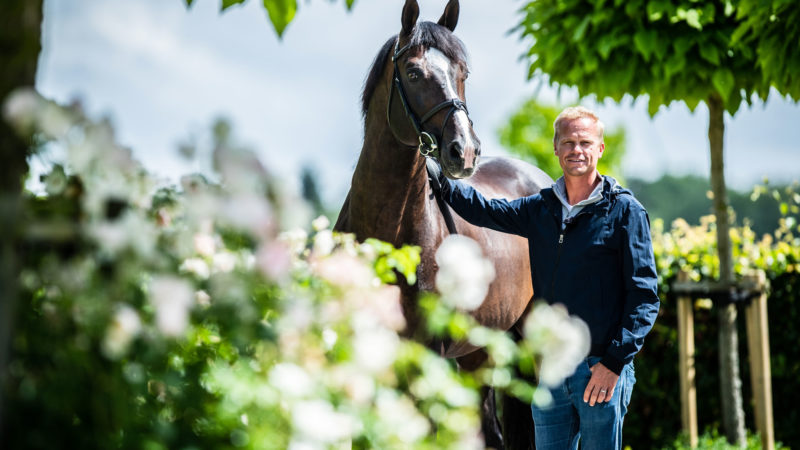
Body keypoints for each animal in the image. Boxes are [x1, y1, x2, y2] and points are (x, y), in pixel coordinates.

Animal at [334, 0, 552, 446]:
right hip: (479, 355)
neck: (387, 235)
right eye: (414, 72)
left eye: (462, 72)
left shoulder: (424, 366)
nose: (463, 151)